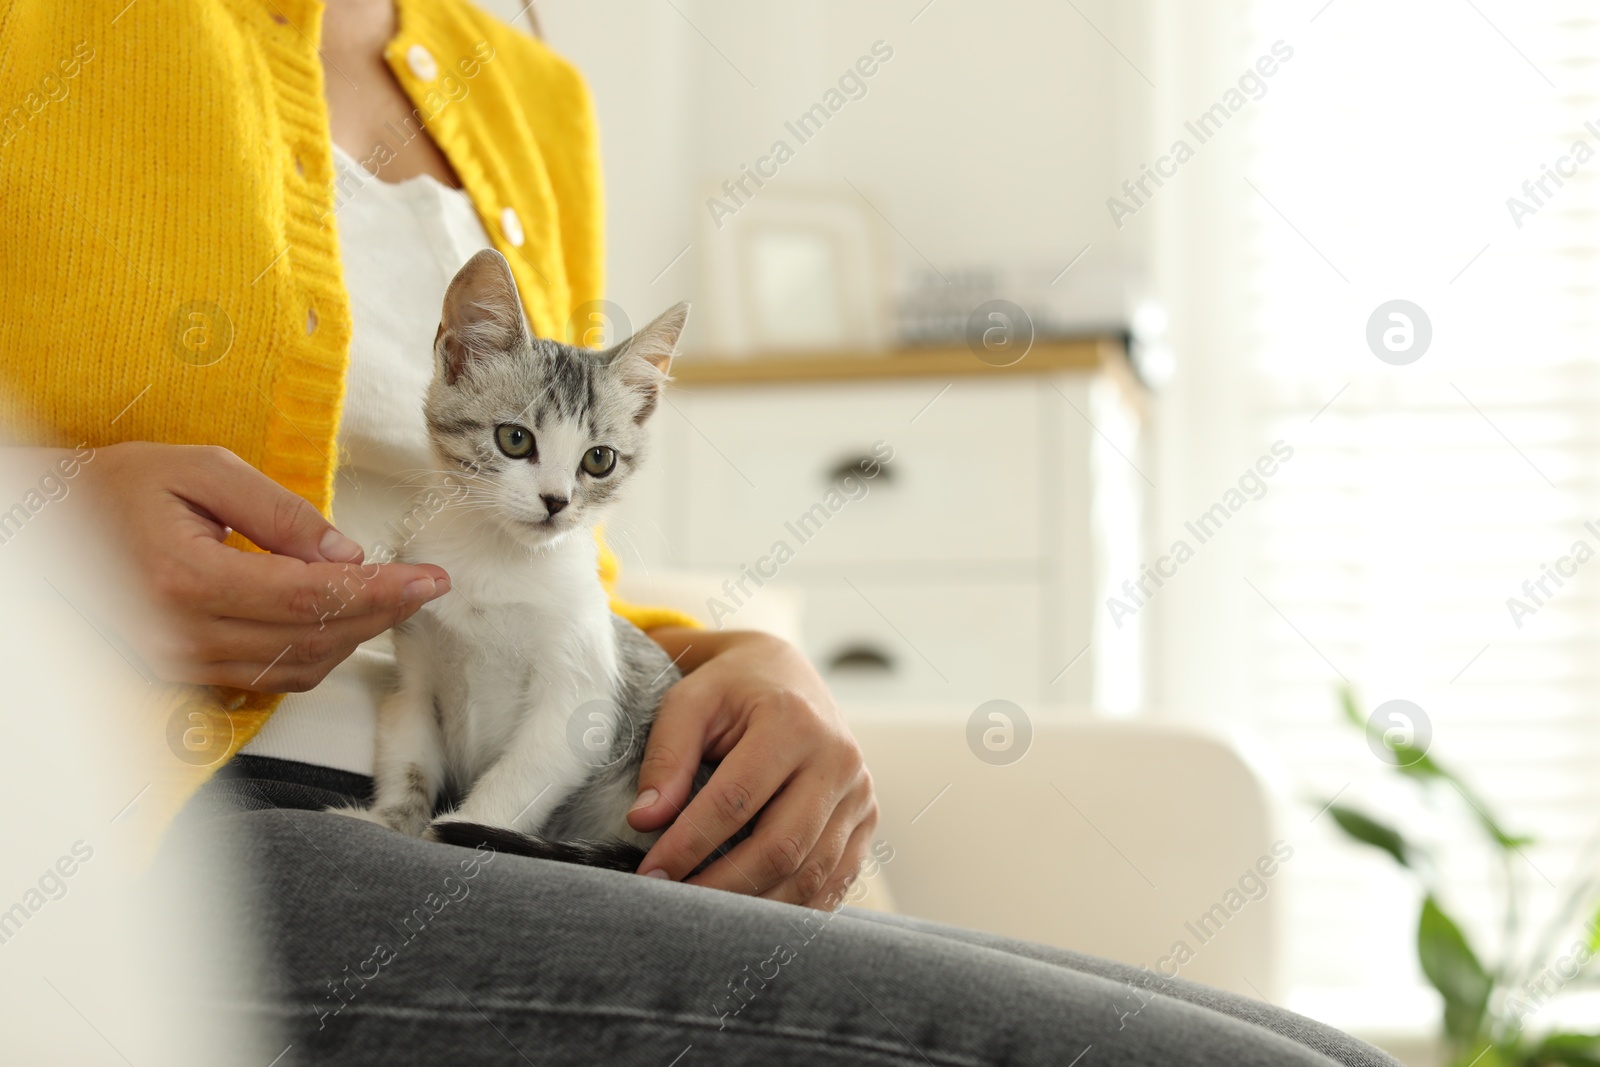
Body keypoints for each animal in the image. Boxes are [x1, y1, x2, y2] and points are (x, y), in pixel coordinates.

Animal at [340, 252, 732, 876]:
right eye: (515, 439)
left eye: (599, 460)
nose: (555, 501)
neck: (497, 560)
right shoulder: (415, 678)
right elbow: (410, 760)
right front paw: (389, 820)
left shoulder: (579, 698)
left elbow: (519, 779)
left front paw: (459, 833)